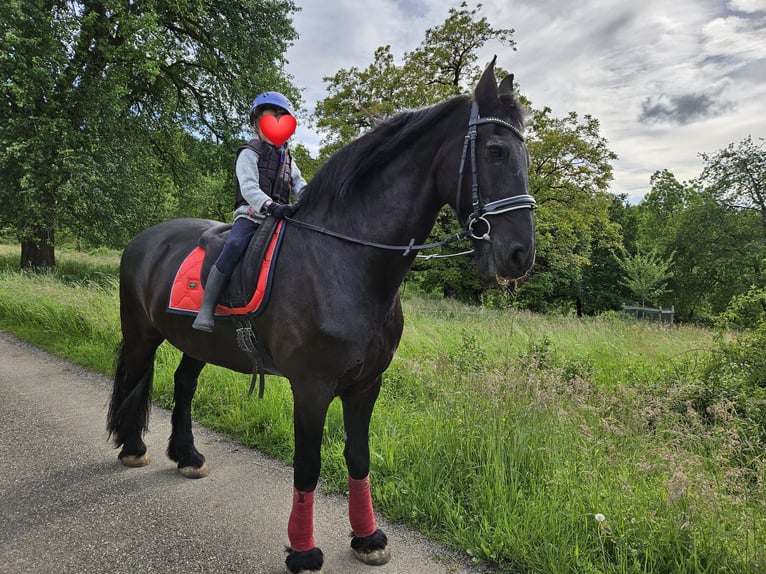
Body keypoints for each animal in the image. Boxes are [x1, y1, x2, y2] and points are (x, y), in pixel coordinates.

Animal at [108, 59, 536, 574]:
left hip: (198, 341)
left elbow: (358, 457)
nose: (520, 254)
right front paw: (303, 550)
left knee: (184, 384)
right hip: (140, 332)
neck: (346, 261)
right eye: (495, 151)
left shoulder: (366, 384)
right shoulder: (311, 387)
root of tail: (142, 239)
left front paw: (368, 537)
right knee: (134, 378)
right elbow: (308, 464)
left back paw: (187, 455)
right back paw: (132, 449)